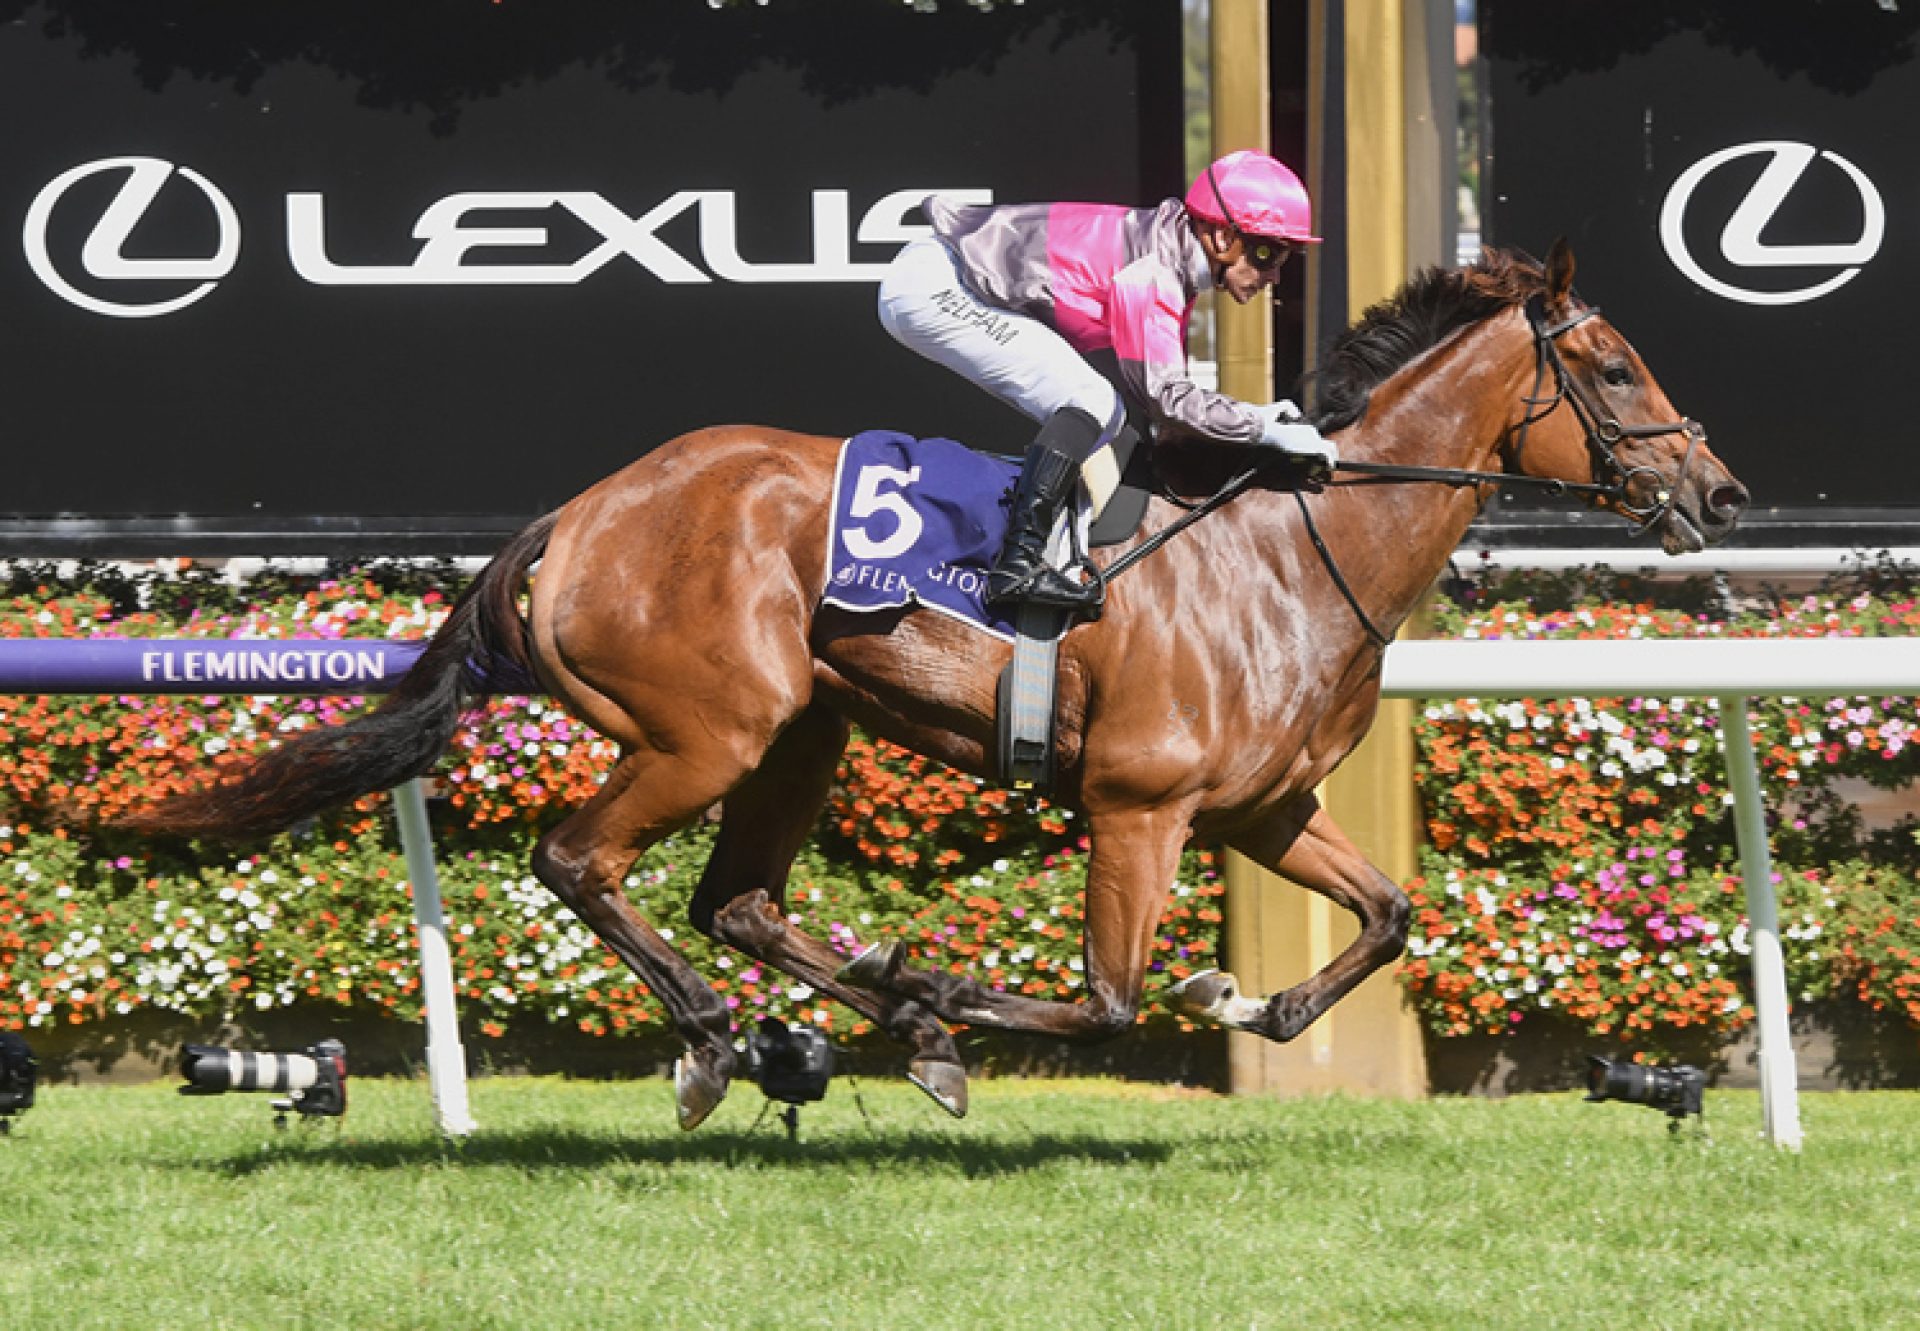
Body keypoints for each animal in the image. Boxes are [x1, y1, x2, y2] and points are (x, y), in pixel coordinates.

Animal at [127, 239, 1758, 1121]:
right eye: (1616, 368)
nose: (1722, 492)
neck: (1294, 544)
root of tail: (577, 514)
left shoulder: (1263, 807)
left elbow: (1388, 916)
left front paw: (1248, 1000)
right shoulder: (1140, 803)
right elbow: (1105, 1002)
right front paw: (959, 998)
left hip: (803, 732)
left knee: (738, 898)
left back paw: (866, 1006)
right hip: (703, 731)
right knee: (578, 858)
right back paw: (720, 1038)